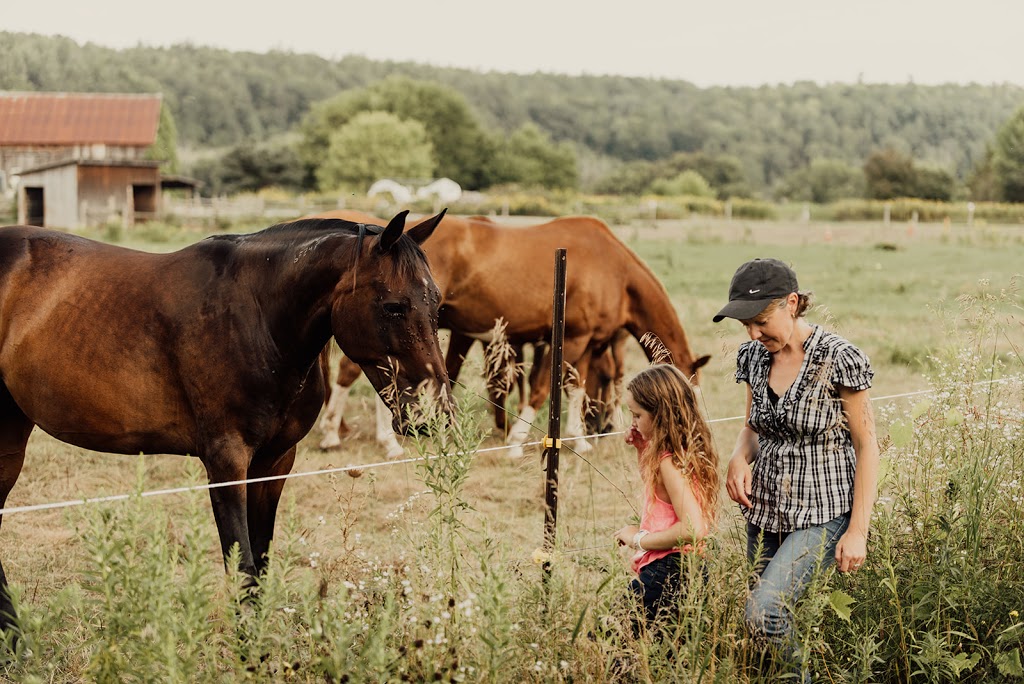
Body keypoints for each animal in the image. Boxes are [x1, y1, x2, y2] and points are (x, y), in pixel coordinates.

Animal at [0, 209, 452, 634]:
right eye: (393, 306)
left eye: (437, 305)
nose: (436, 414)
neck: (259, 319)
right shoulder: (226, 462)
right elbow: (244, 570)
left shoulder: (274, 463)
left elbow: (261, 562)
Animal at [315, 210, 708, 456]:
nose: (692, 440)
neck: (614, 268)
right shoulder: (572, 339)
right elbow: (544, 388)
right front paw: (519, 441)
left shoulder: (583, 344)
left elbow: (574, 387)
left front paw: (579, 439)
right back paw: (358, 436)